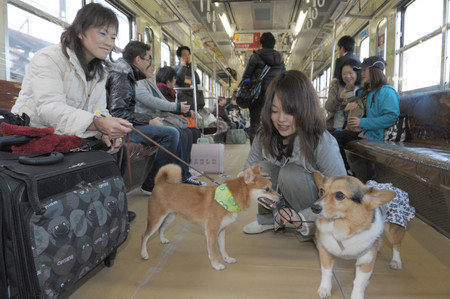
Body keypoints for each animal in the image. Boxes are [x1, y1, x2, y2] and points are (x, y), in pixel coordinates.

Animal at [141, 164, 282, 272]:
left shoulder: (222, 230)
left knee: (161, 228)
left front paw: (226, 258)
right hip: (155, 218)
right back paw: (144, 253)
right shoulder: (211, 231)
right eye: (267, 189)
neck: (229, 197)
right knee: (145, 235)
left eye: (272, 186)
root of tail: (160, 183)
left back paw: (162, 239)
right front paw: (216, 265)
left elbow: (223, 247)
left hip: (169, 217)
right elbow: (213, 251)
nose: (281, 197)